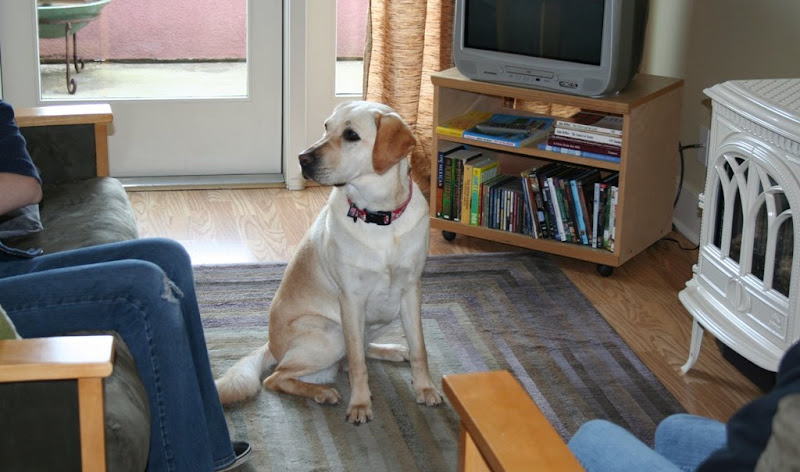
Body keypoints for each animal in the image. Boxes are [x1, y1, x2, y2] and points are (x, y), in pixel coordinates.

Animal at [217, 100, 444, 424]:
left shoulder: (411, 289)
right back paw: (323, 393)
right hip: (331, 332)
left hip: (378, 318)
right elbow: (359, 365)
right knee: (278, 378)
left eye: (351, 135)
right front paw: (360, 404)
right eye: (326, 127)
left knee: (356, 354)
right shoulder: (350, 299)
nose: (301, 158)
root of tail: (271, 346)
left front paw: (425, 388)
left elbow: (419, 348)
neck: (380, 218)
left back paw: (391, 350)